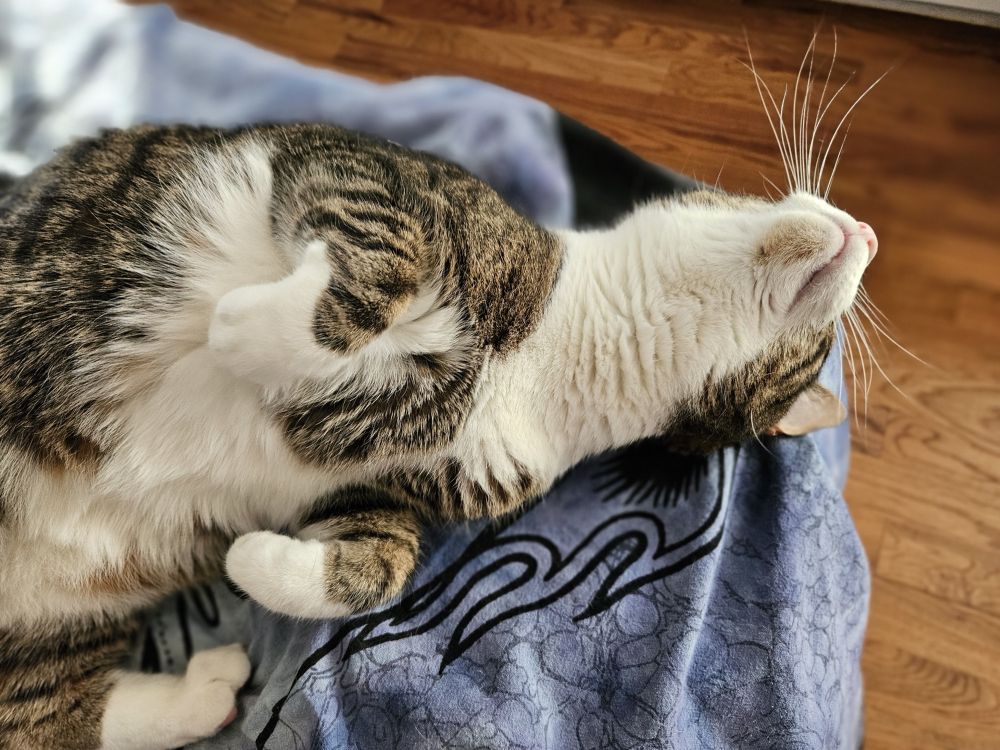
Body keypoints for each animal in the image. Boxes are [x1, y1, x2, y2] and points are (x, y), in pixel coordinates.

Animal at [0, 122, 876, 748]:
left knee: (48, 722)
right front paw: (244, 326)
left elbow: (375, 567)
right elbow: (381, 268)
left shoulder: (385, 489)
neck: (558, 356)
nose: (864, 230)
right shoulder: (362, 175)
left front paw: (250, 555)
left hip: (48, 627)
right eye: (824, 348)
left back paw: (201, 691)